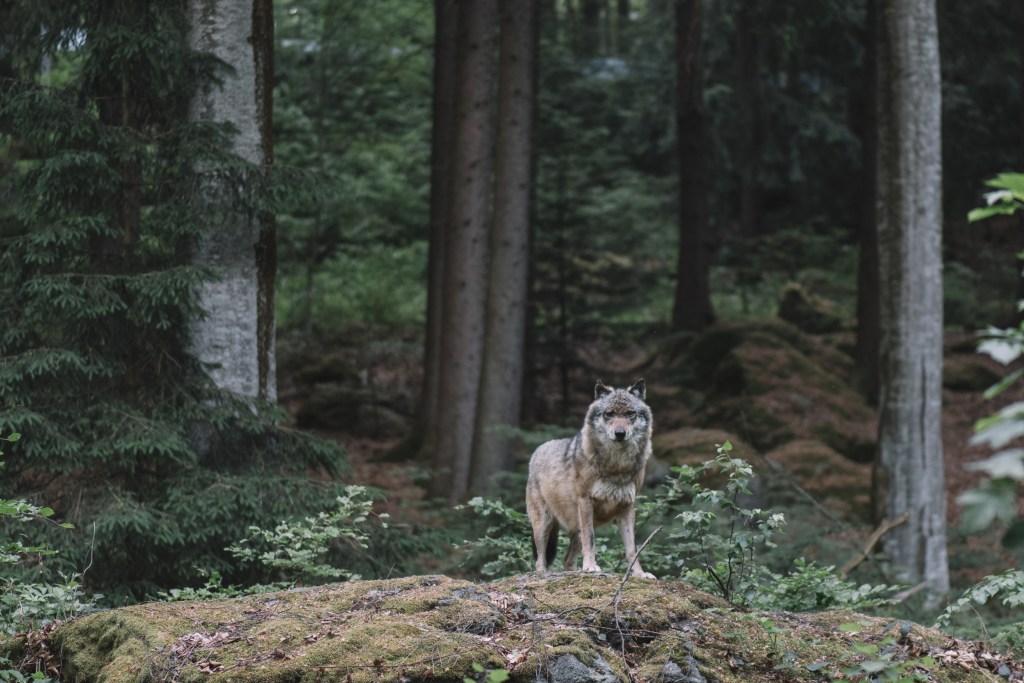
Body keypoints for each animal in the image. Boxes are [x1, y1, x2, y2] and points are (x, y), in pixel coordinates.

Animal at [528, 378, 655, 577]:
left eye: (630, 414)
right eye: (609, 414)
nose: (620, 433)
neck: (617, 466)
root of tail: (538, 450)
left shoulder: (627, 506)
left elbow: (632, 549)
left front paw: (639, 574)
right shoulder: (586, 501)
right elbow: (591, 540)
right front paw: (590, 566)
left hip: (575, 527)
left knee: (567, 560)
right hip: (543, 524)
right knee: (540, 559)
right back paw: (544, 574)